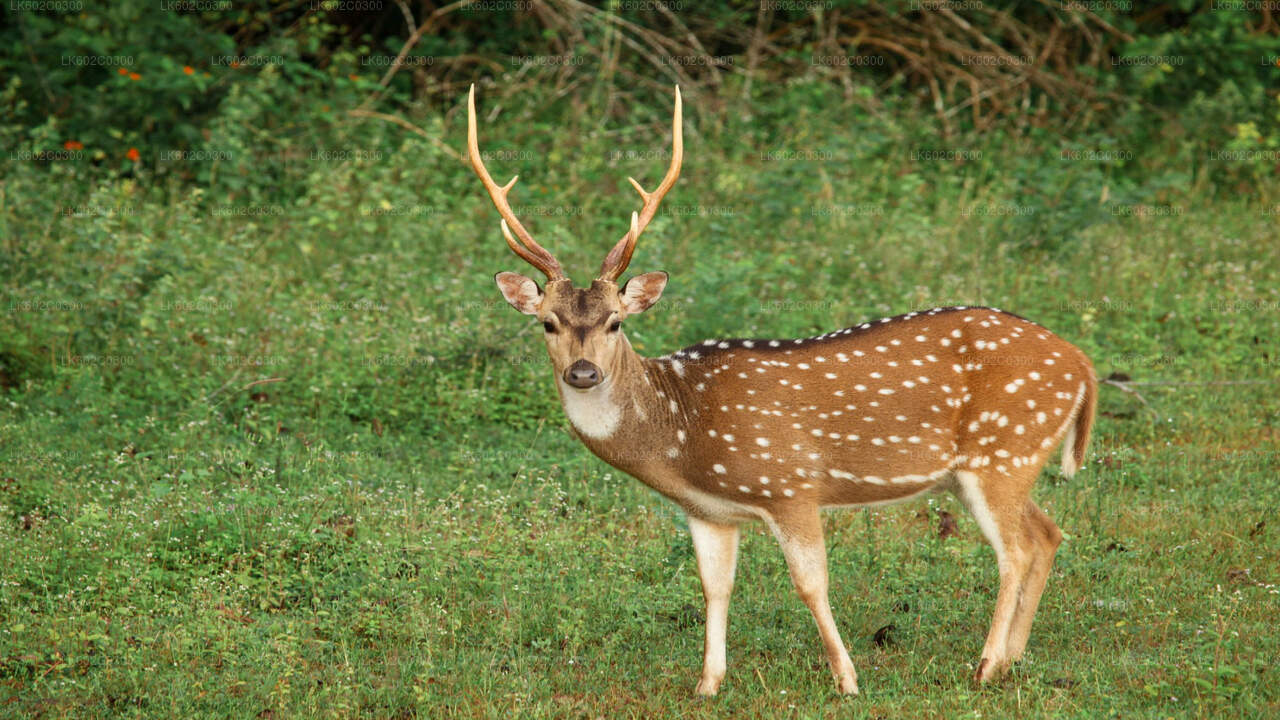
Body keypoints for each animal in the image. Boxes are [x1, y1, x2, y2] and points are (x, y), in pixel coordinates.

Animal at [471, 85, 1100, 696]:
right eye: (547, 323)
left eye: (615, 322)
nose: (583, 373)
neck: (682, 430)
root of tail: (1084, 366)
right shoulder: (708, 512)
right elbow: (714, 588)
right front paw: (708, 684)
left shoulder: (791, 484)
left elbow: (810, 584)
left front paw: (847, 680)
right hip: (999, 464)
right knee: (1048, 533)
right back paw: (1013, 659)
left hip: (1003, 450)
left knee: (1016, 550)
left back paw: (986, 667)